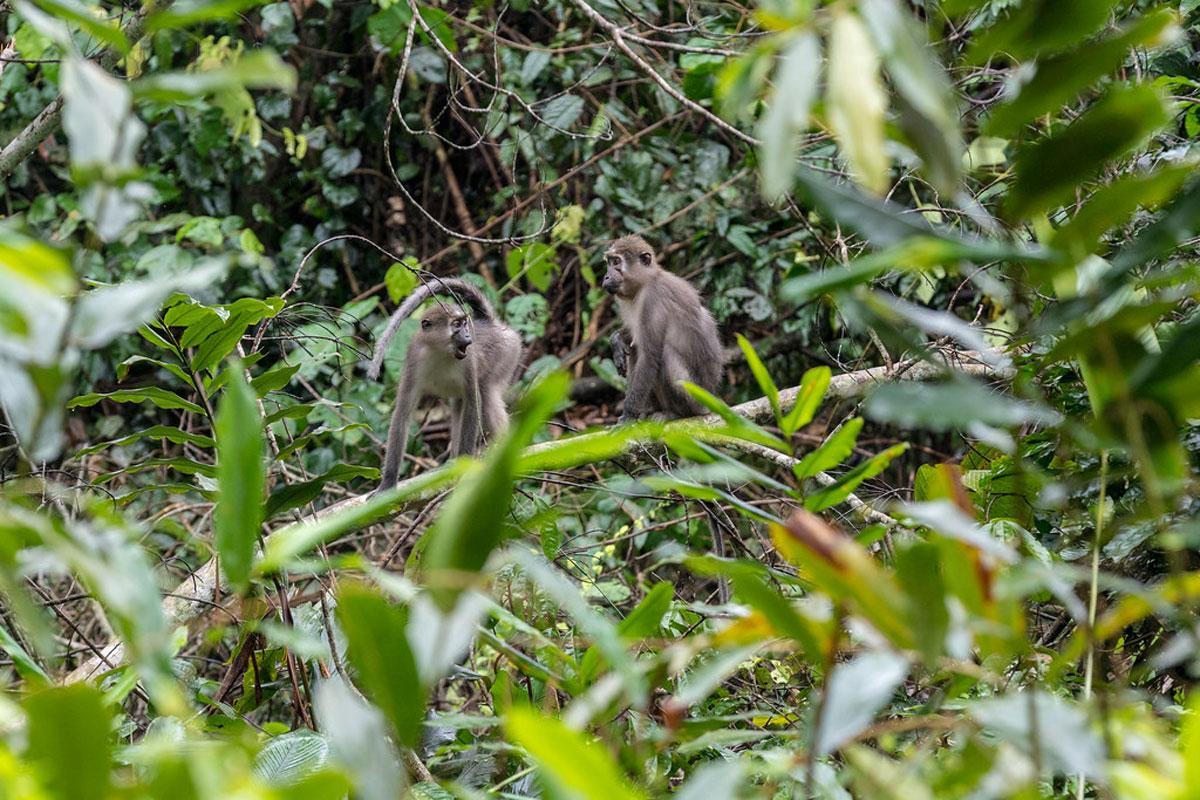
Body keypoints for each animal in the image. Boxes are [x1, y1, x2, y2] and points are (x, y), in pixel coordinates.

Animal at [362, 278, 518, 489]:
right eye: (456, 325)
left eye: (464, 324)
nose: (468, 336)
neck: (441, 351)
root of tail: (491, 323)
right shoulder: (414, 357)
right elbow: (403, 412)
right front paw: (388, 483)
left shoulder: (469, 362)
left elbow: (473, 402)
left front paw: (465, 463)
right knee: (460, 403)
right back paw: (452, 461)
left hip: (508, 350)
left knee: (485, 393)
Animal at [600, 236, 720, 424]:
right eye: (609, 263)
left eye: (617, 262)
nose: (606, 276)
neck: (645, 282)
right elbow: (635, 339)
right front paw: (616, 340)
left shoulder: (653, 301)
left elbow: (649, 356)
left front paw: (628, 415)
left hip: (695, 398)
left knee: (665, 355)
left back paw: (676, 413)